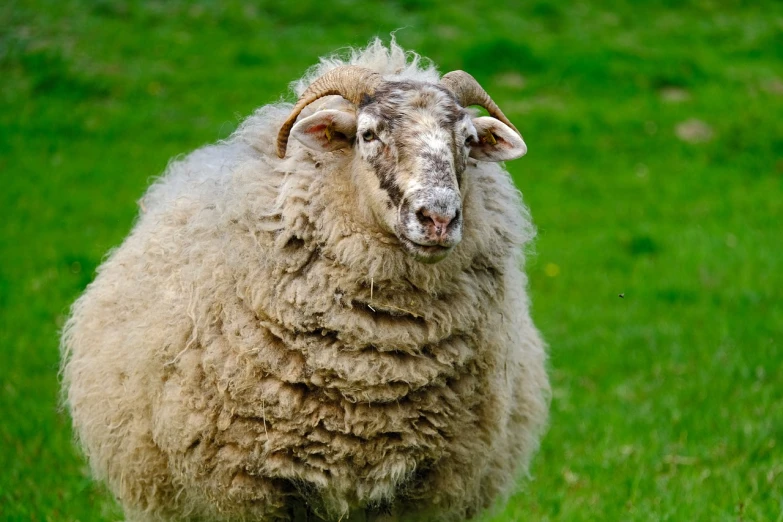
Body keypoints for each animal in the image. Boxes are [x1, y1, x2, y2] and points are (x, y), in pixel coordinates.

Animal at [61, 39, 548, 520]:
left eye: (468, 140)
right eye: (368, 134)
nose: (439, 218)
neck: (368, 369)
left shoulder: (421, 490)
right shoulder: (247, 486)